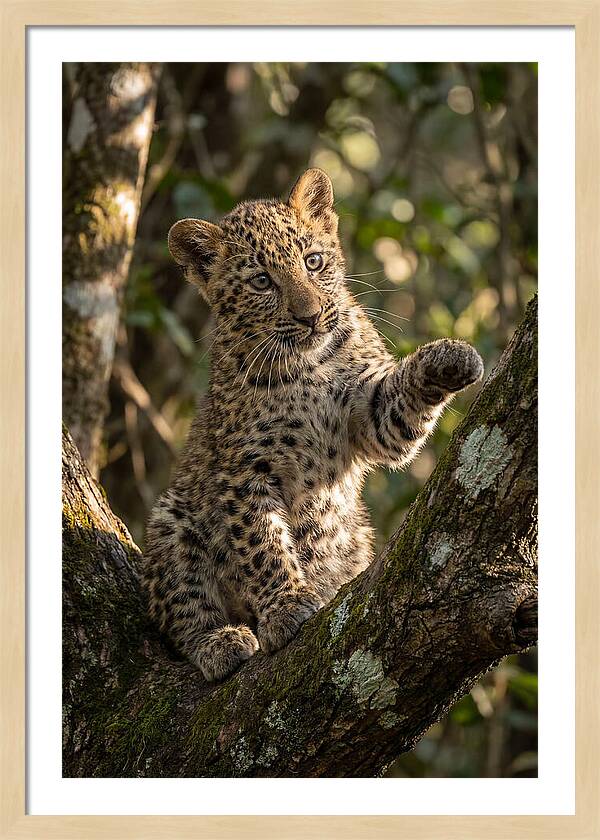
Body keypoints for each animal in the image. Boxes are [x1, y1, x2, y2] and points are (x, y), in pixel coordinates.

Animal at [143, 168, 484, 682]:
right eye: (262, 281)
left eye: (314, 261)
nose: (310, 316)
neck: (308, 367)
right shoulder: (245, 470)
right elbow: (262, 543)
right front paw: (286, 607)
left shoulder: (369, 416)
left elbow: (397, 409)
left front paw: (450, 356)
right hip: (172, 519)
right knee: (180, 613)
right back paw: (220, 642)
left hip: (356, 537)